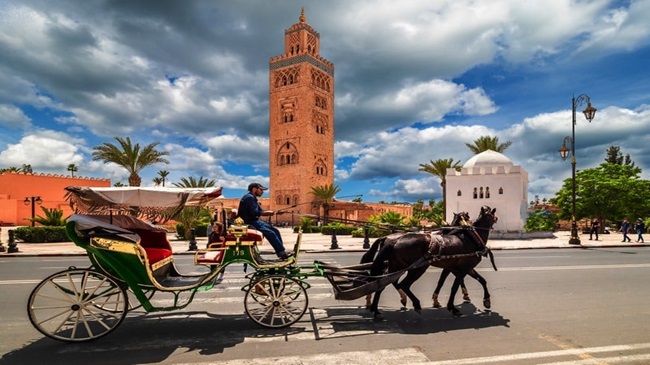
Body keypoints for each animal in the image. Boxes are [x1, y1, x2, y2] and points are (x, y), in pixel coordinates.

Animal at [364, 205, 496, 318]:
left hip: (397, 265)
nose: (496, 218)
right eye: (491, 214)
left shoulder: (459, 267)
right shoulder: (464, 268)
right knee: (403, 284)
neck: (472, 238)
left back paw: (376, 310)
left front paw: (486, 300)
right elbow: (454, 286)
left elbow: (480, 280)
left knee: (384, 282)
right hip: (418, 267)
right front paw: (453, 306)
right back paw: (415, 304)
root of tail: (392, 240)